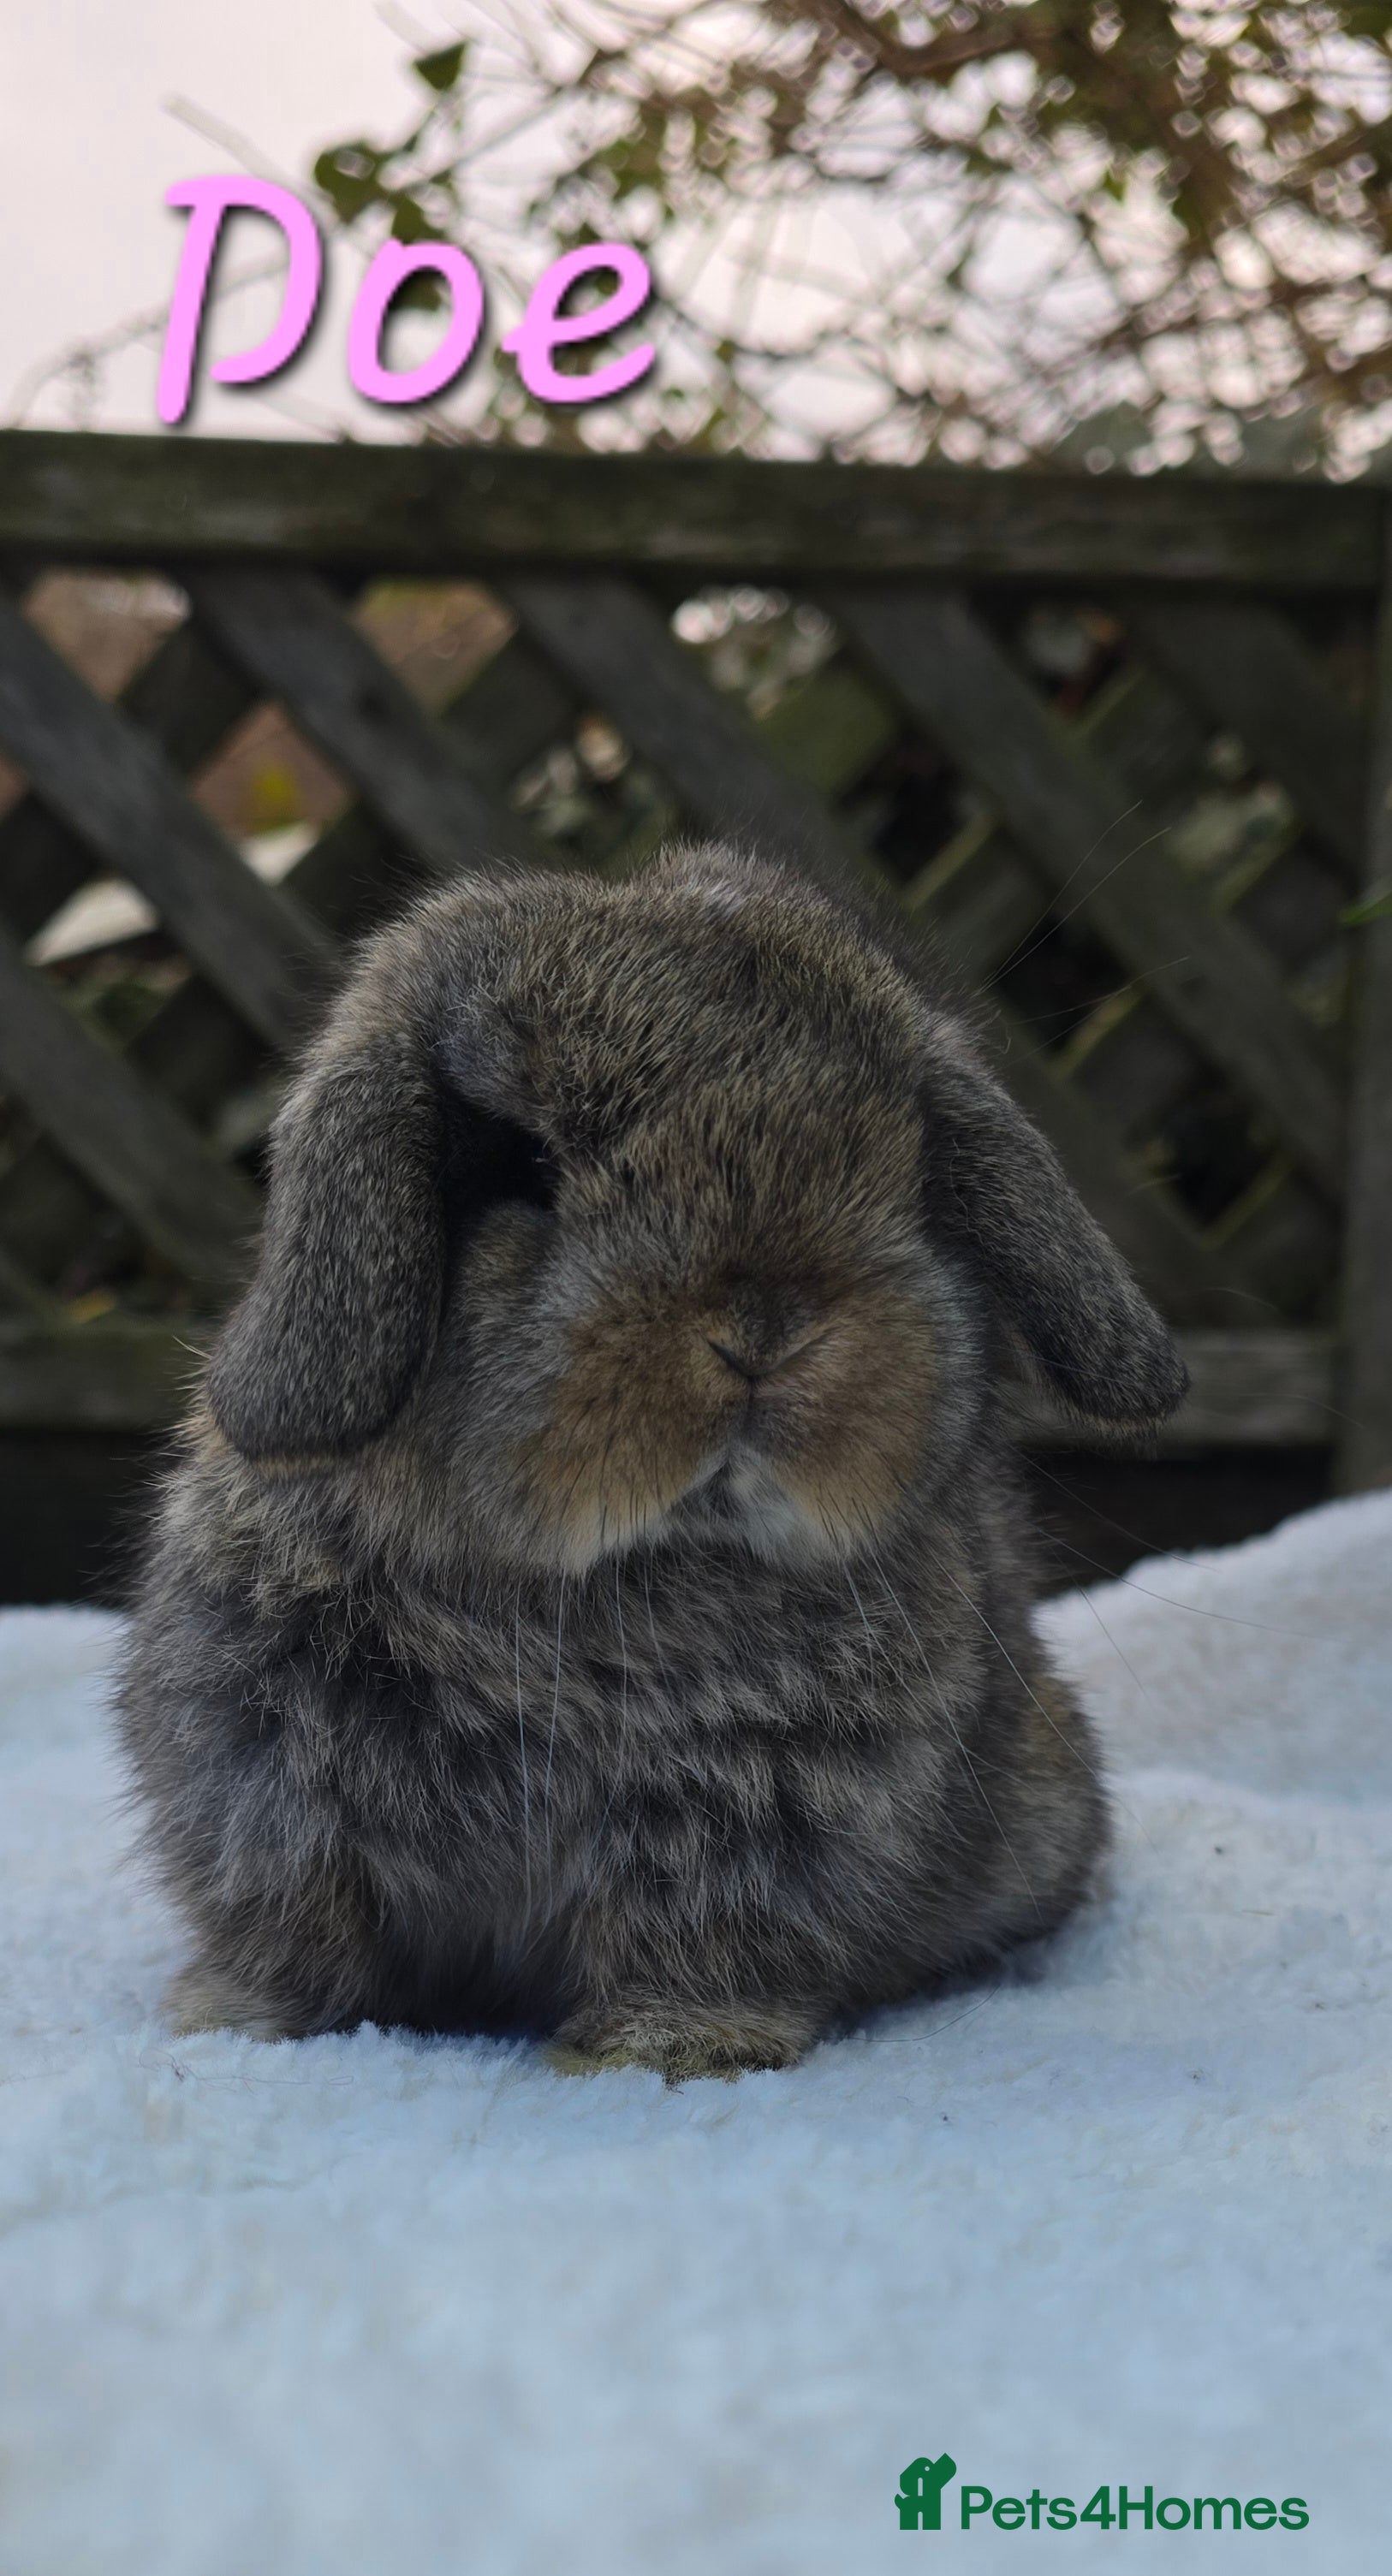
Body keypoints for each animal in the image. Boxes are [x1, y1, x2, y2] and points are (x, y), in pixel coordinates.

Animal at [118, 840, 1187, 2079]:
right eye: (521, 1161)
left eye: (907, 1167)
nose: (764, 1328)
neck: (604, 1590)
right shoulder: (265, 1785)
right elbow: (296, 1930)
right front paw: (236, 2024)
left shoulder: (753, 1829)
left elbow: (692, 1938)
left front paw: (664, 2051)